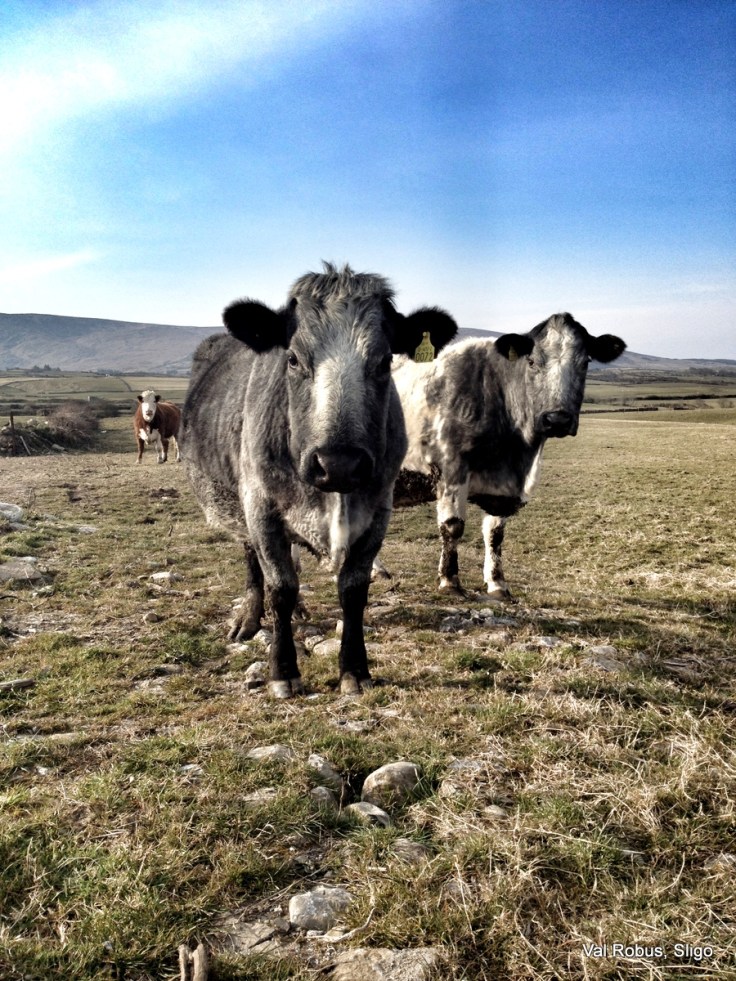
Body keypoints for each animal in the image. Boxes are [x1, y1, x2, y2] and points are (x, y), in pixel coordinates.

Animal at [179, 262, 458, 698]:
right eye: (292, 359)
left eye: (383, 362)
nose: (338, 463)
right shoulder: (261, 508)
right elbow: (280, 586)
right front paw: (282, 671)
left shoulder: (377, 511)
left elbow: (353, 590)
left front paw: (354, 669)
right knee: (254, 564)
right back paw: (250, 618)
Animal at [388, 313, 626, 597]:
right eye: (532, 361)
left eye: (585, 362)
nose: (557, 419)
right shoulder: (451, 467)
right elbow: (453, 526)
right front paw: (449, 581)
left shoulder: (504, 487)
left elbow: (495, 532)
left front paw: (497, 583)